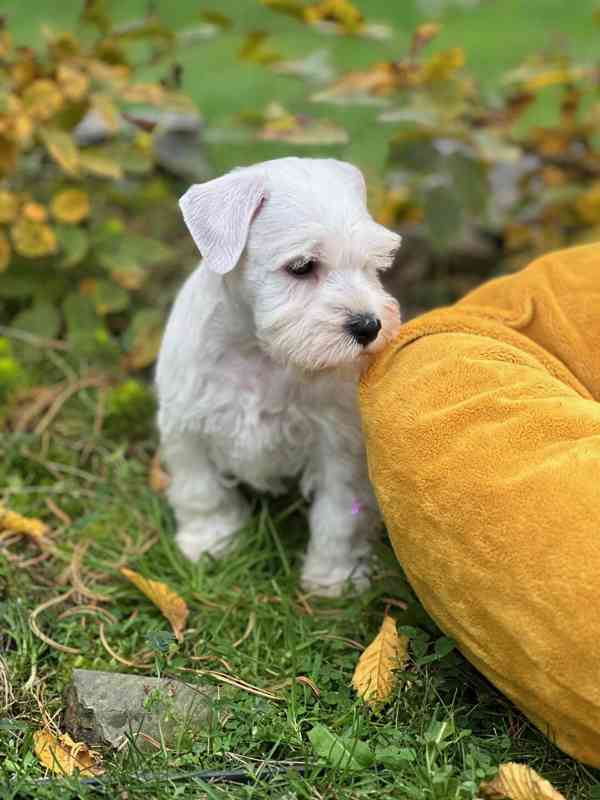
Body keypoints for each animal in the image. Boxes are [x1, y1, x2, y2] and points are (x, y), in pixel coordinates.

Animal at [157, 156, 404, 592]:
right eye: (302, 267)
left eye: (372, 265)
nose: (369, 326)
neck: (260, 352)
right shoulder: (187, 426)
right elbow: (202, 492)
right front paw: (209, 543)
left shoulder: (337, 445)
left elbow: (337, 516)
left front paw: (332, 579)